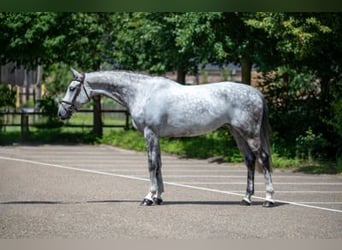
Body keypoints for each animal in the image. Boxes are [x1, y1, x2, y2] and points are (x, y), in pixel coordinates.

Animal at [57, 68, 274, 207]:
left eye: (71, 88)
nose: (61, 112)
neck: (142, 92)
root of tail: (256, 92)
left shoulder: (150, 134)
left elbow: (151, 164)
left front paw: (149, 197)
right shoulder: (156, 136)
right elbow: (159, 164)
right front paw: (159, 197)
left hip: (249, 133)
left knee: (263, 159)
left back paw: (269, 199)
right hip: (237, 132)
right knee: (250, 160)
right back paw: (246, 199)